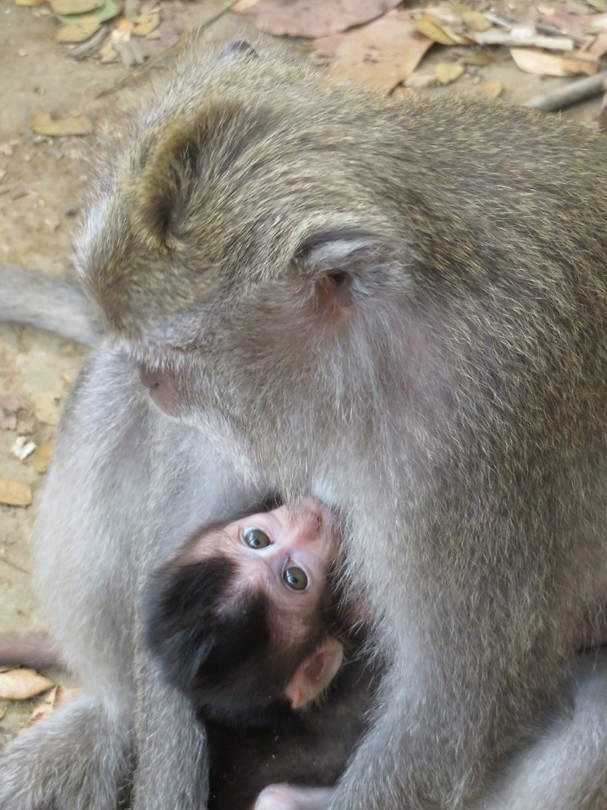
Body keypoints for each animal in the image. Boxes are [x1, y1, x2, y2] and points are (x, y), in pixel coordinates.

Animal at [2, 30, 607, 810]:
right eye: (256, 539)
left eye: (178, 352)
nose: (151, 382)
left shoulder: (481, 442)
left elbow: (448, 712)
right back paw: (110, 719)